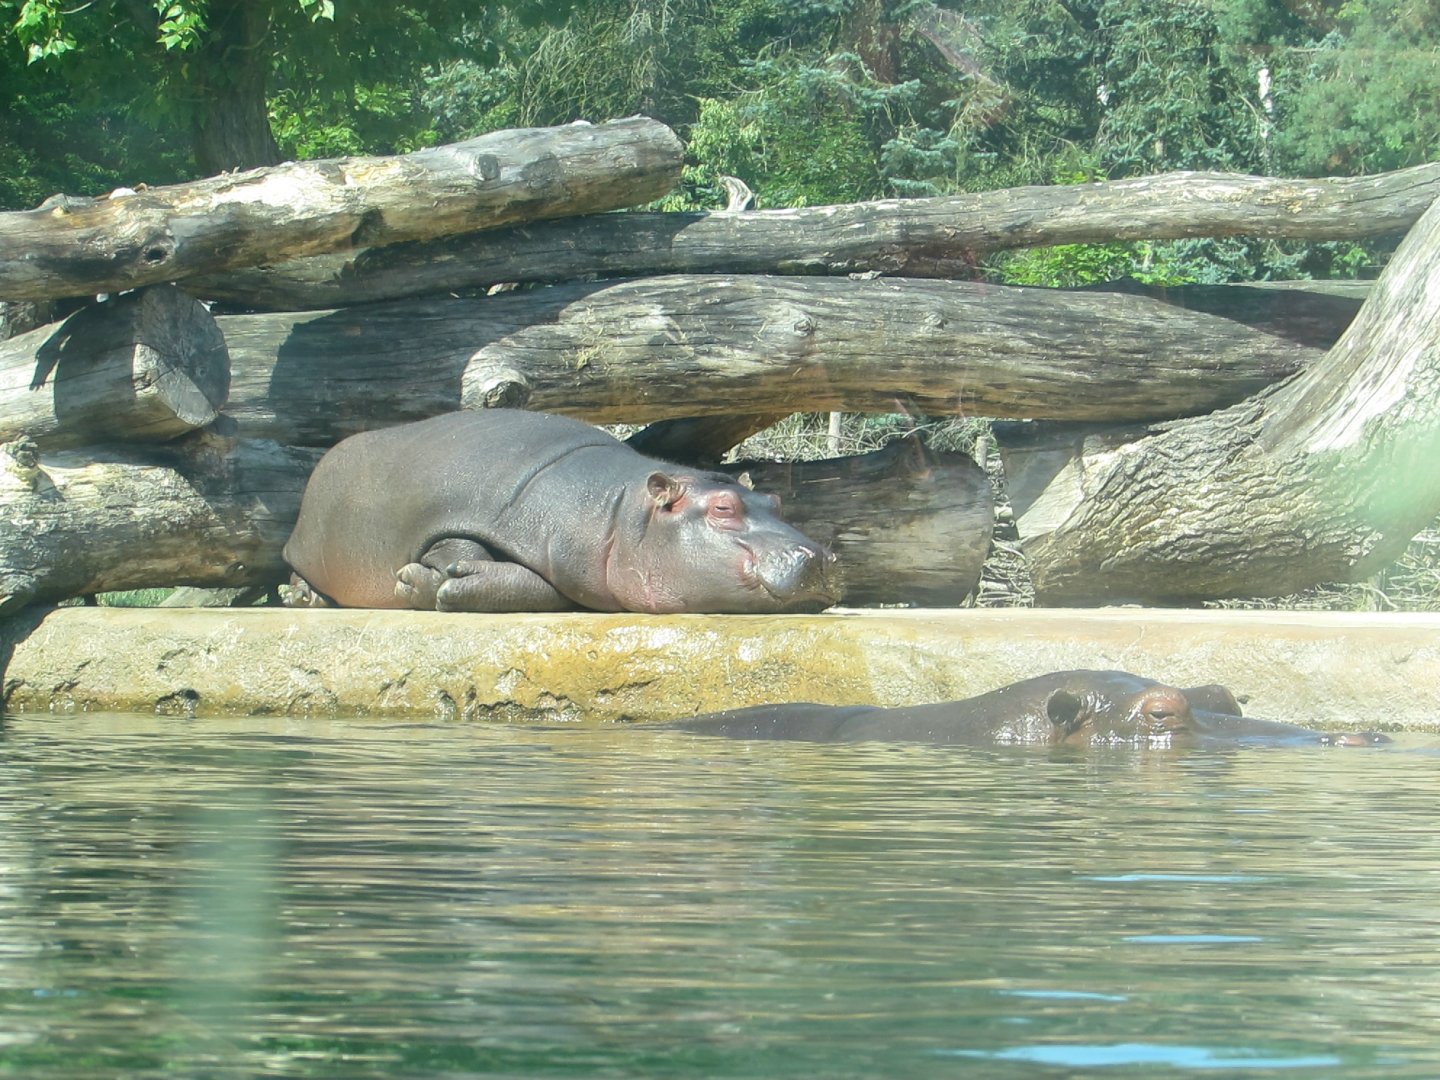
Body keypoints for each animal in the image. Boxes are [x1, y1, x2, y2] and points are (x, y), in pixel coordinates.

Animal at [282, 410, 839, 613]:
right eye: (724, 507)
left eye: (775, 501)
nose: (821, 556)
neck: (617, 510)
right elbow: (455, 549)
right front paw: (422, 580)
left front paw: (436, 582)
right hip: (303, 546)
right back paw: (303, 598)